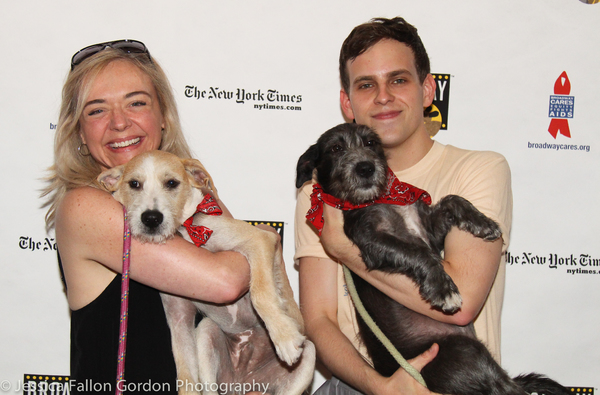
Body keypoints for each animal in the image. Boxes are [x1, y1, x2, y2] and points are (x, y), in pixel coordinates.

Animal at [98, 152, 314, 395]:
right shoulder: (179, 316)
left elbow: (261, 293)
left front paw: (284, 337)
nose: (151, 218)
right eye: (134, 184)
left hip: (308, 356)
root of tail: (245, 381)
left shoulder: (259, 239)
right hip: (207, 333)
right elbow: (184, 371)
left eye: (171, 183)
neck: (187, 231)